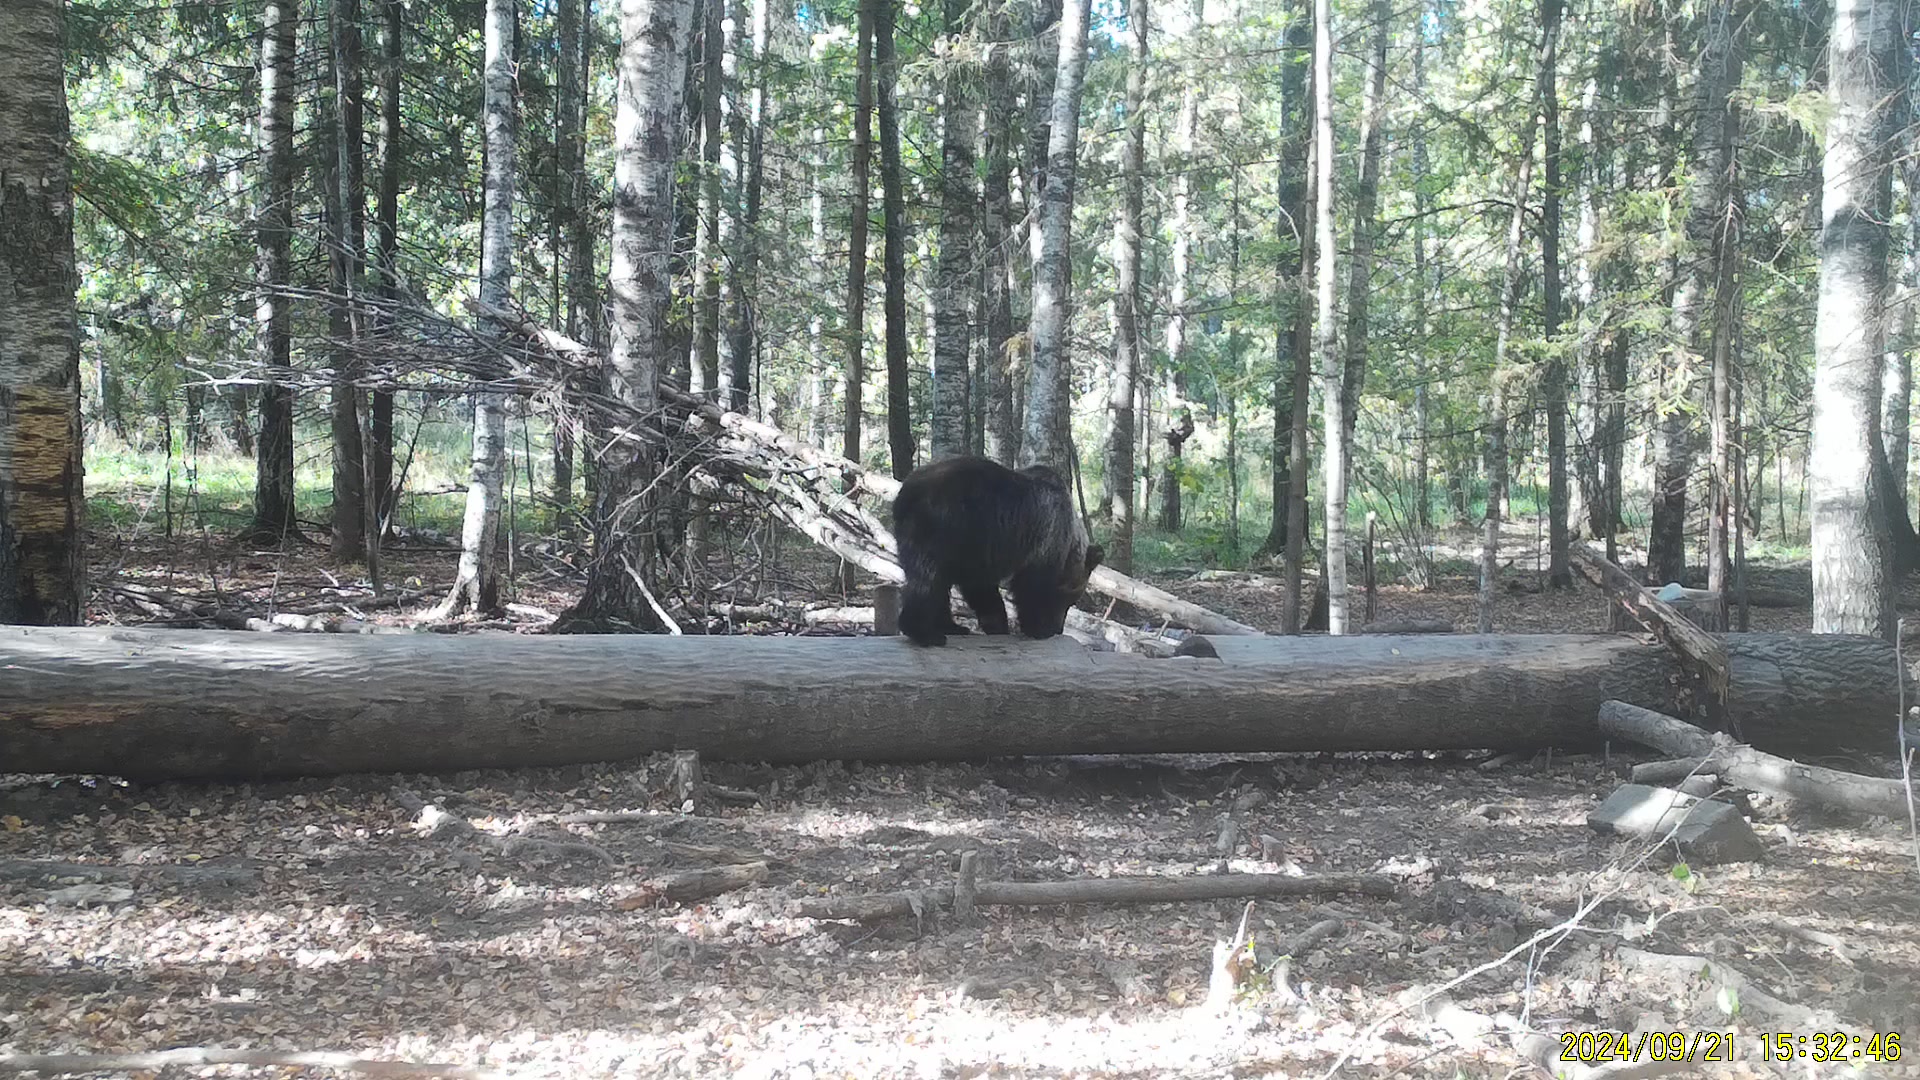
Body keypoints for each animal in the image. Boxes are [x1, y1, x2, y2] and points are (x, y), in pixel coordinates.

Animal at [890, 455, 1105, 647]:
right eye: (1069, 599)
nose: (1059, 628)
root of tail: (906, 492)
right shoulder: (1044, 536)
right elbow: (1031, 586)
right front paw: (1040, 628)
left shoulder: (976, 552)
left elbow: (980, 587)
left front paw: (997, 624)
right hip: (940, 526)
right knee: (928, 578)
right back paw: (926, 633)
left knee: (935, 580)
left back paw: (951, 626)